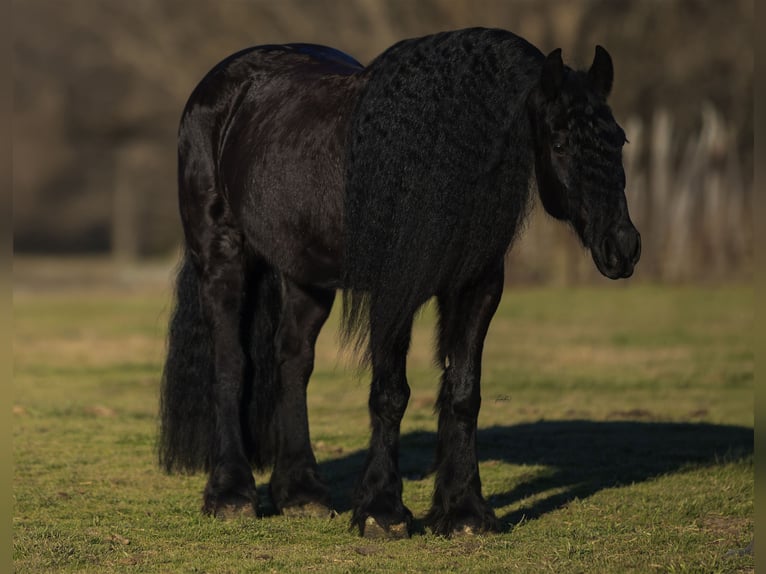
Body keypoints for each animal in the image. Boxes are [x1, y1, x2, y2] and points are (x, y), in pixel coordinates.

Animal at [160, 27, 640, 540]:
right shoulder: (393, 295)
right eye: (562, 141)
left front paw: (466, 512)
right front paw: (382, 511)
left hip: (307, 277)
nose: (623, 246)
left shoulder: (476, 290)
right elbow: (390, 394)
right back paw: (231, 494)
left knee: (293, 362)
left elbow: (464, 393)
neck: (432, 160)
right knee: (231, 363)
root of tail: (220, 86)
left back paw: (302, 493)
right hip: (222, 256)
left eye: (619, 139)